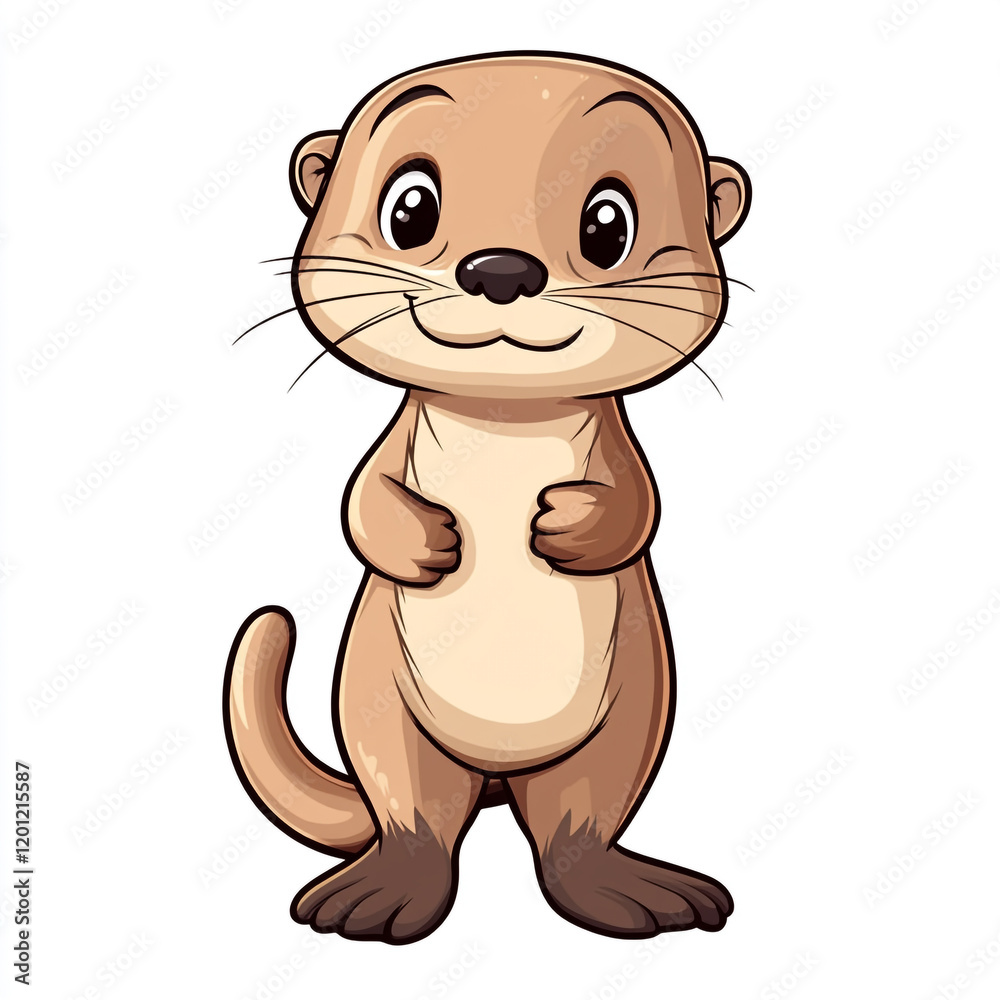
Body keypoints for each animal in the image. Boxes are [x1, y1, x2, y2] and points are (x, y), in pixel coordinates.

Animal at [224, 50, 751, 944]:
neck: (506, 417)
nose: (500, 269)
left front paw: (568, 525)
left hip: (626, 719)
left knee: (576, 830)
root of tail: (498, 780)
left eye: (607, 227)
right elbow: (361, 501)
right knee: (418, 818)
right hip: (382, 711)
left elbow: (641, 505)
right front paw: (429, 542)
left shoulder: (623, 455)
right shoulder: (389, 448)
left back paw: (629, 890)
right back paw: (382, 893)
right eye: (410, 209)